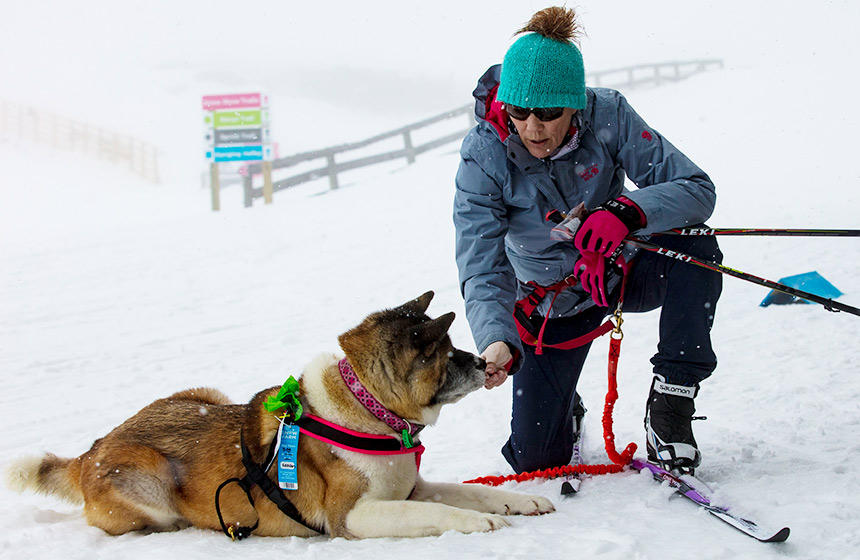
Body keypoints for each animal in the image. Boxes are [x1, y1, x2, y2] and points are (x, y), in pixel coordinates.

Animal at [5, 288, 556, 540]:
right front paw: (476, 524)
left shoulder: (413, 485)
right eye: (448, 354)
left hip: (204, 391)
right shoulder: (352, 517)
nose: (485, 362)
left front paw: (521, 502)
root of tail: (91, 450)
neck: (367, 410)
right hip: (150, 482)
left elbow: (467, 491)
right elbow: (432, 511)